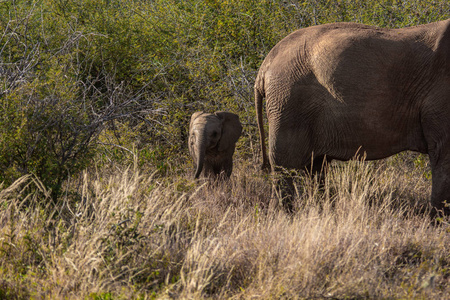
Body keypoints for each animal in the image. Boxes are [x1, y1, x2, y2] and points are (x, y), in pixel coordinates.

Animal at [255, 19, 450, 216]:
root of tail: (265, 66)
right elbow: (443, 153)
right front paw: (439, 220)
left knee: (316, 168)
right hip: (288, 102)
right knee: (286, 168)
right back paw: (283, 215)